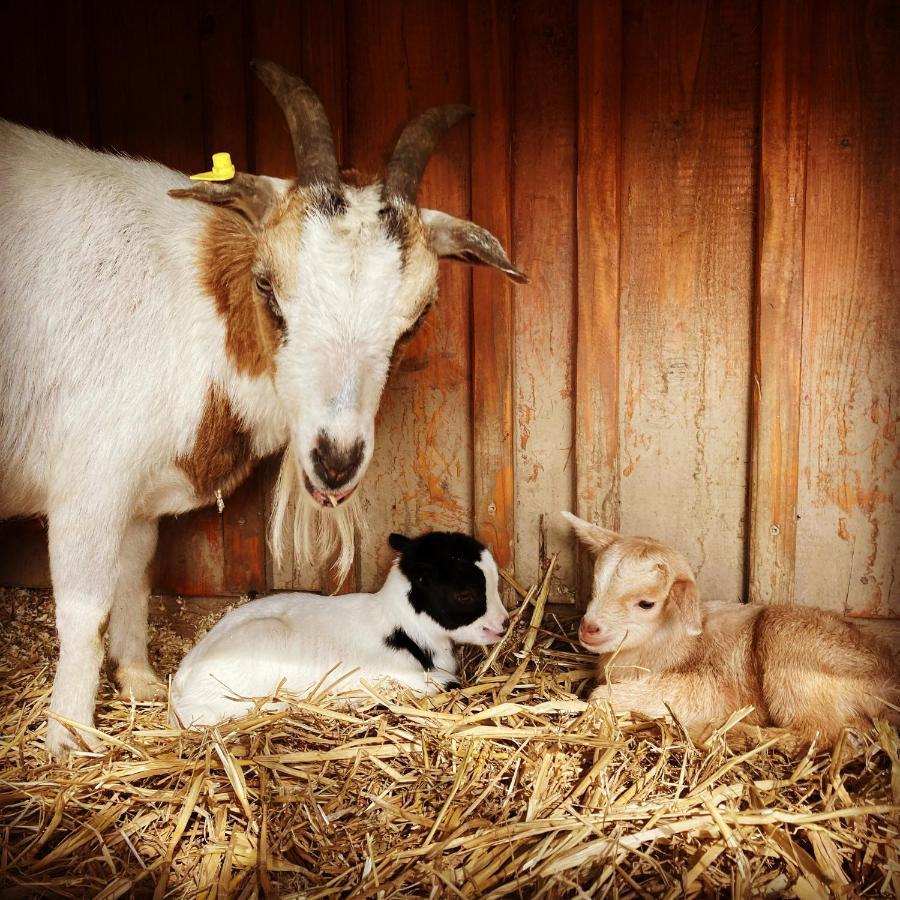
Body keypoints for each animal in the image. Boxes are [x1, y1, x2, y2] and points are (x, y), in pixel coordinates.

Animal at [564, 512, 900, 752]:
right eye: (595, 586)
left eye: (646, 603)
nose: (588, 629)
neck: (673, 644)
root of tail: (888, 680)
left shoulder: (708, 687)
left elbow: (599, 696)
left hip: (791, 652)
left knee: (816, 732)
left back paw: (717, 733)